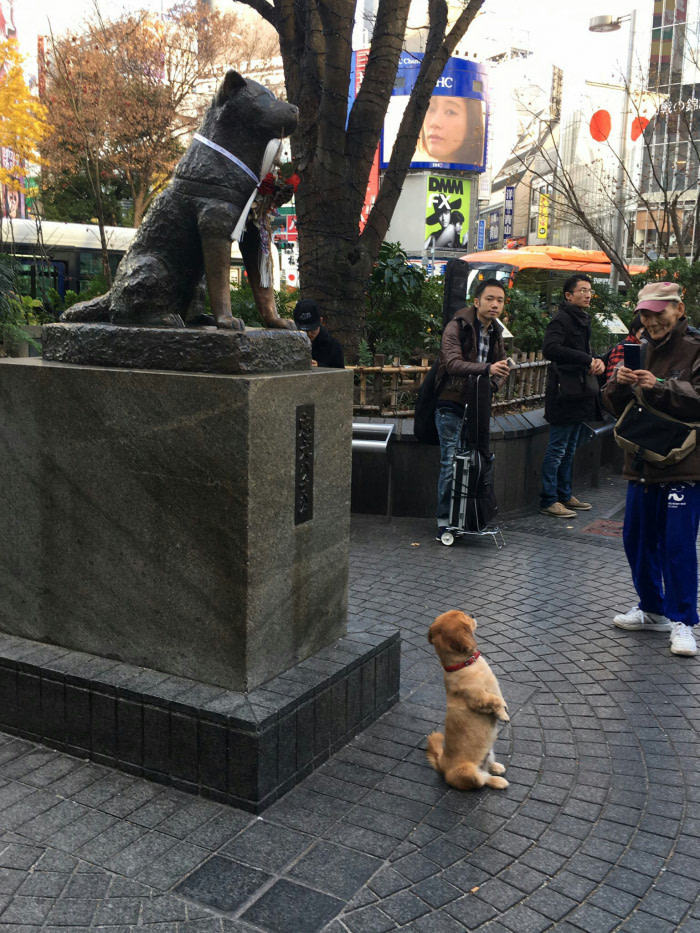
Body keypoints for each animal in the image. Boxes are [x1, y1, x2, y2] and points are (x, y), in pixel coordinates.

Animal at [426, 612, 508, 788]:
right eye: (465, 617)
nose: (473, 614)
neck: (463, 665)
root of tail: (442, 764)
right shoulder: (479, 698)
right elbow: (496, 701)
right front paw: (504, 714)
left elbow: (499, 698)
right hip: (471, 774)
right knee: (484, 779)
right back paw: (498, 781)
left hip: (489, 752)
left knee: (488, 766)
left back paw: (496, 767)